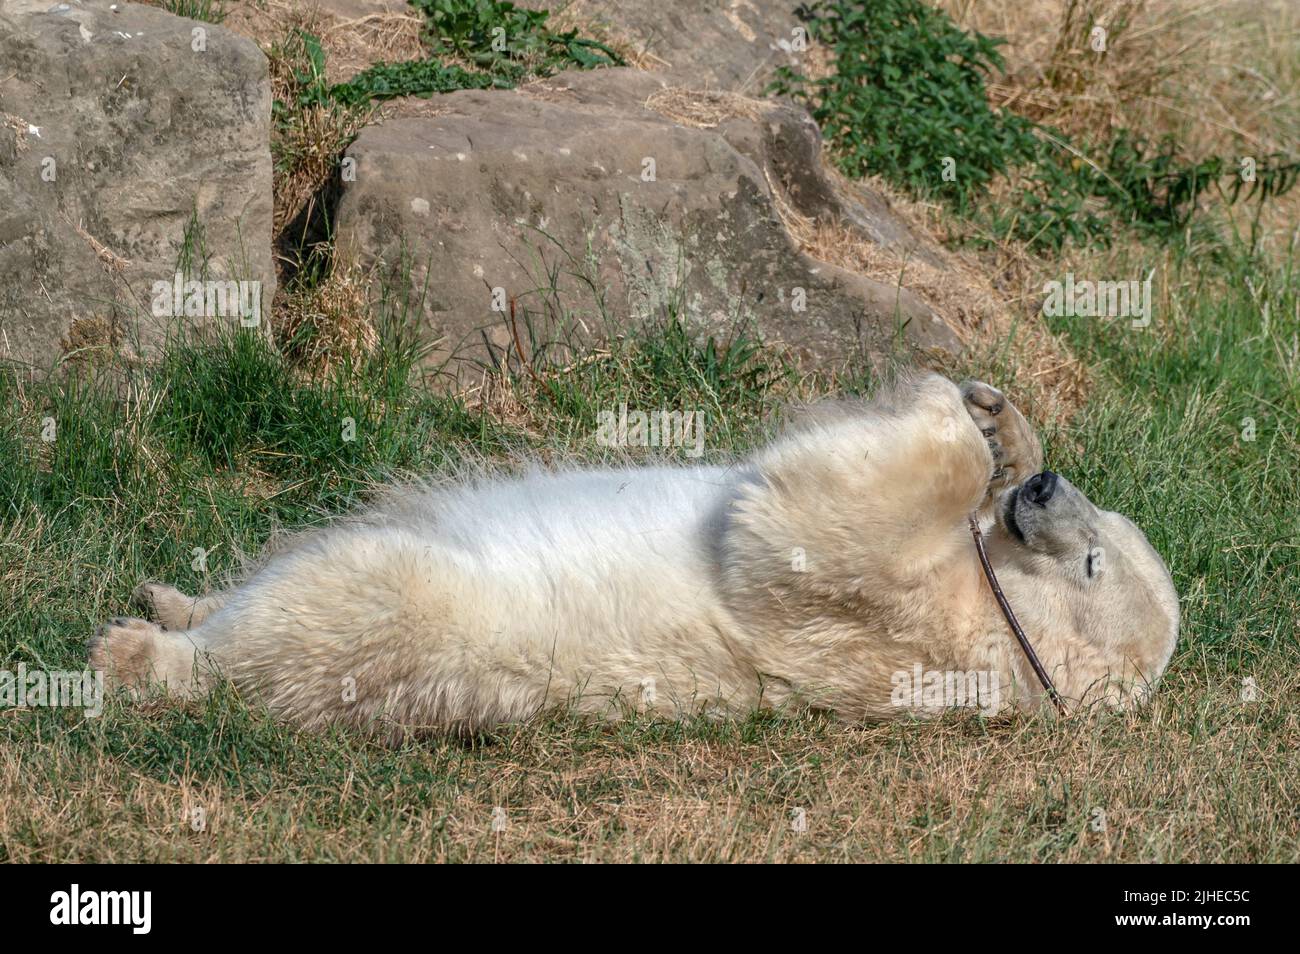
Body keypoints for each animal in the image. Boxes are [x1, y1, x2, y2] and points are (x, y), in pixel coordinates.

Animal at [83, 374, 1180, 738]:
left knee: (320, 608)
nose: (1046, 495)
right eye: (1107, 526)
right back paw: (174, 595)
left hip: (416, 617)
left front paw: (968, 428)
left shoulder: (894, 624)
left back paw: (141, 652)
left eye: (1094, 567)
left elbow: (792, 526)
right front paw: (1006, 429)